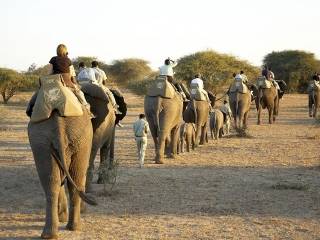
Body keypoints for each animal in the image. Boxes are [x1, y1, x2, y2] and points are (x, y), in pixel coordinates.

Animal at [28, 105, 96, 238]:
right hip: (77, 140)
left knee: (53, 182)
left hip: (44, 144)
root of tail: (58, 126)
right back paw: (71, 228)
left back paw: (53, 234)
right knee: (73, 180)